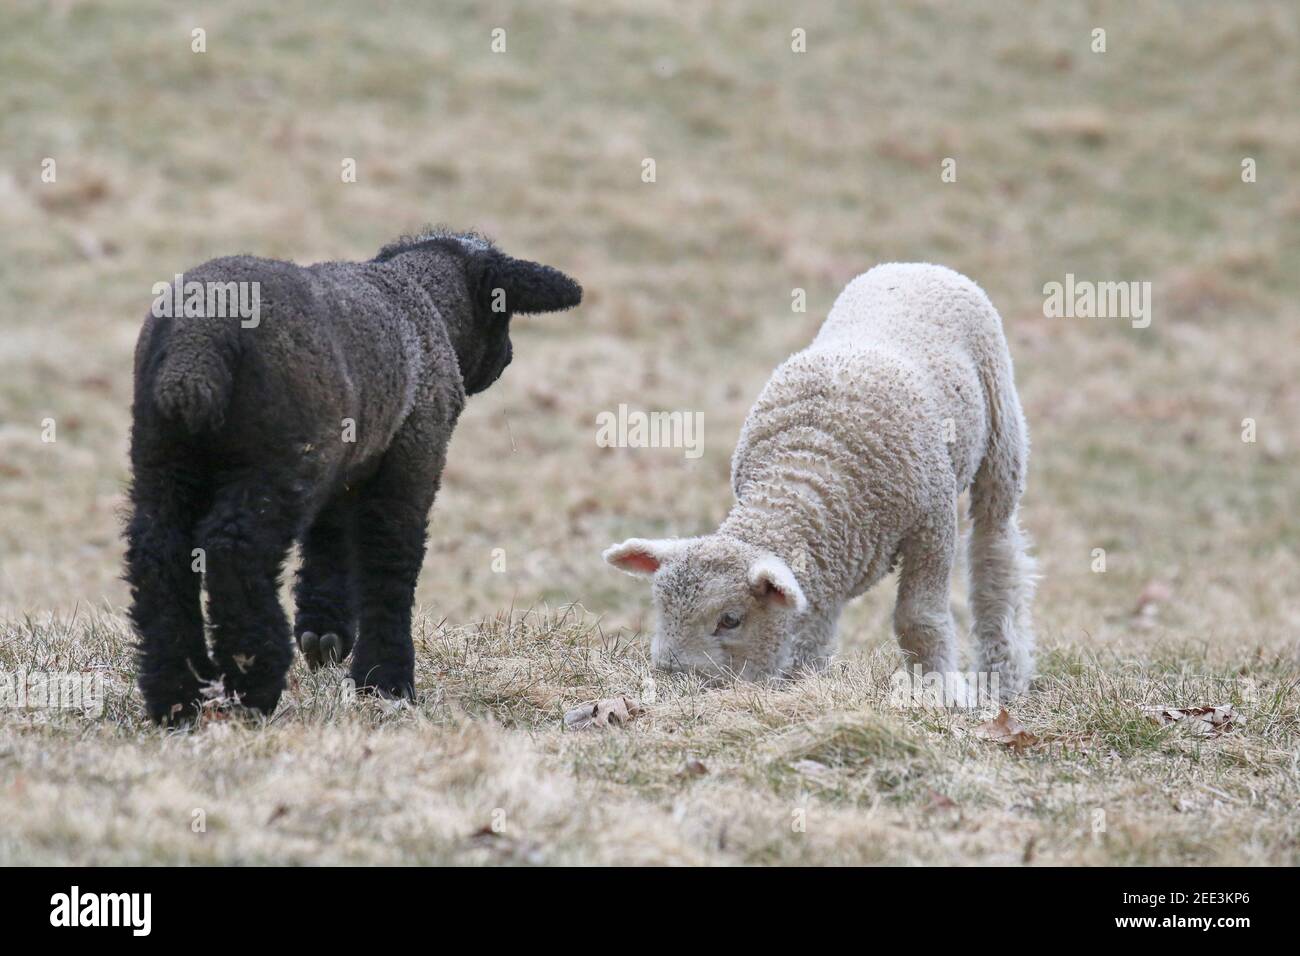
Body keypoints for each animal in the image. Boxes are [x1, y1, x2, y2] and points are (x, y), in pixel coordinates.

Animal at [603, 261, 1040, 697]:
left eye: (730, 619)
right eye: (661, 608)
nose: (674, 682)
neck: (807, 466)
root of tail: (916, 266)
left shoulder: (932, 525)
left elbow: (920, 619)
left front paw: (940, 690)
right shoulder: (827, 555)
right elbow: (813, 625)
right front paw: (801, 682)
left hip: (1001, 427)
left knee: (995, 546)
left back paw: (1004, 672)